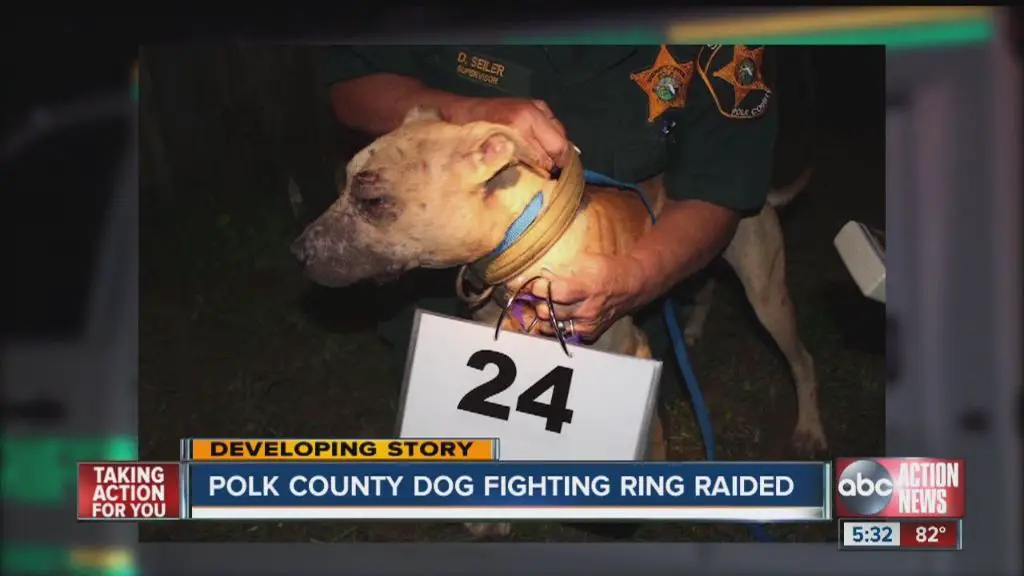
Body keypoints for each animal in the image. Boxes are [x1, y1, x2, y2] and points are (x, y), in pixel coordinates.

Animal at [292, 106, 827, 537]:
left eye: (374, 201)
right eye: (345, 182)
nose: (297, 253)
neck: (525, 244)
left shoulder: (629, 350)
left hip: (766, 293)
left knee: (803, 360)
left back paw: (809, 427)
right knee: (707, 287)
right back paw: (692, 330)